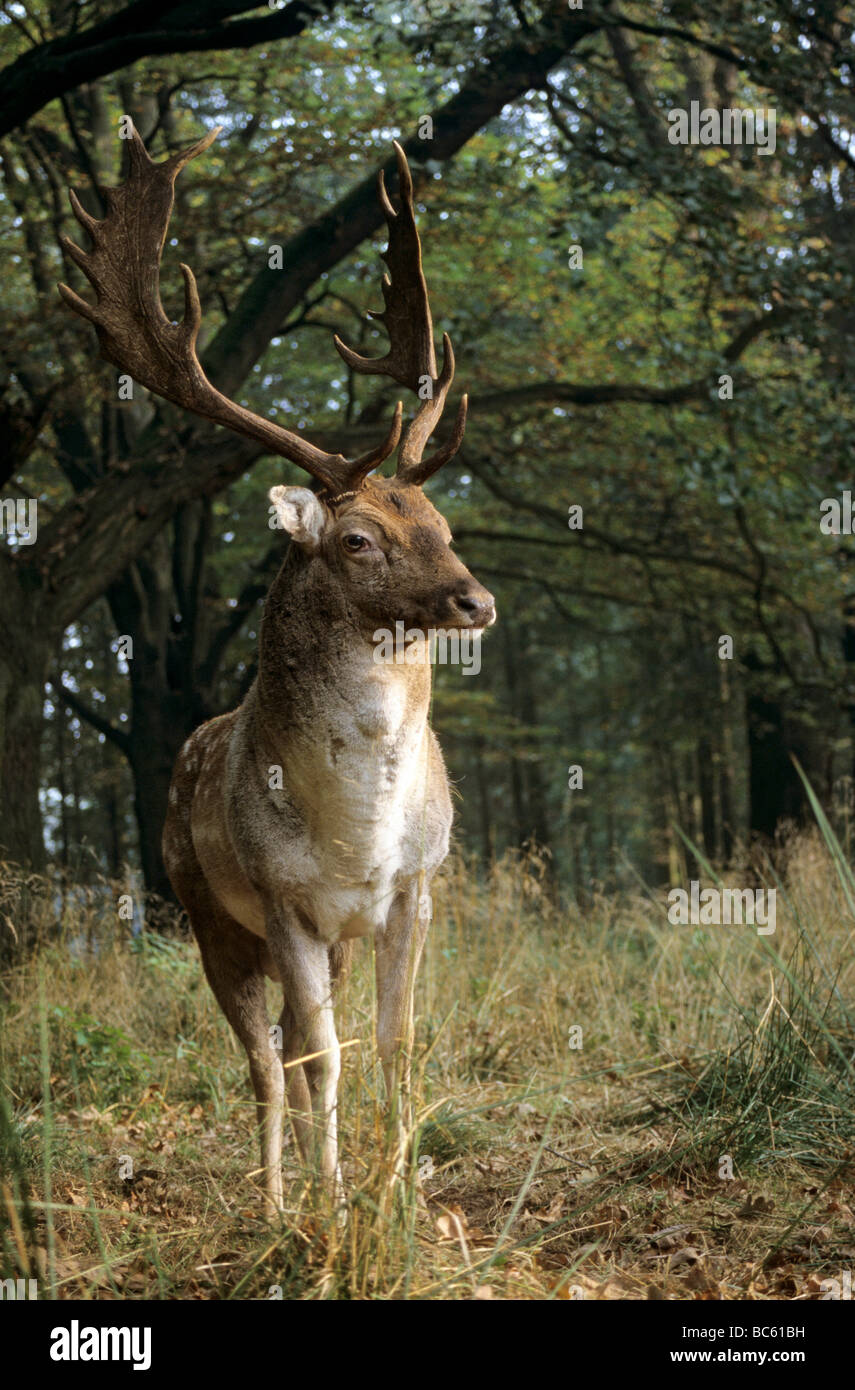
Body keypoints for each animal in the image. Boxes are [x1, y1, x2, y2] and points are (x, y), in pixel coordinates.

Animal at [60, 130, 494, 1217]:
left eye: (443, 524)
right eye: (357, 539)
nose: (475, 600)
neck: (355, 839)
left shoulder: (415, 888)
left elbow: (394, 1042)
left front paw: (394, 1194)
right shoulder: (282, 900)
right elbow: (319, 1058)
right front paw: (331, 1210)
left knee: (297, 1046)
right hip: (207, 913)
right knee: (267, 1057)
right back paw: (274, 1199)